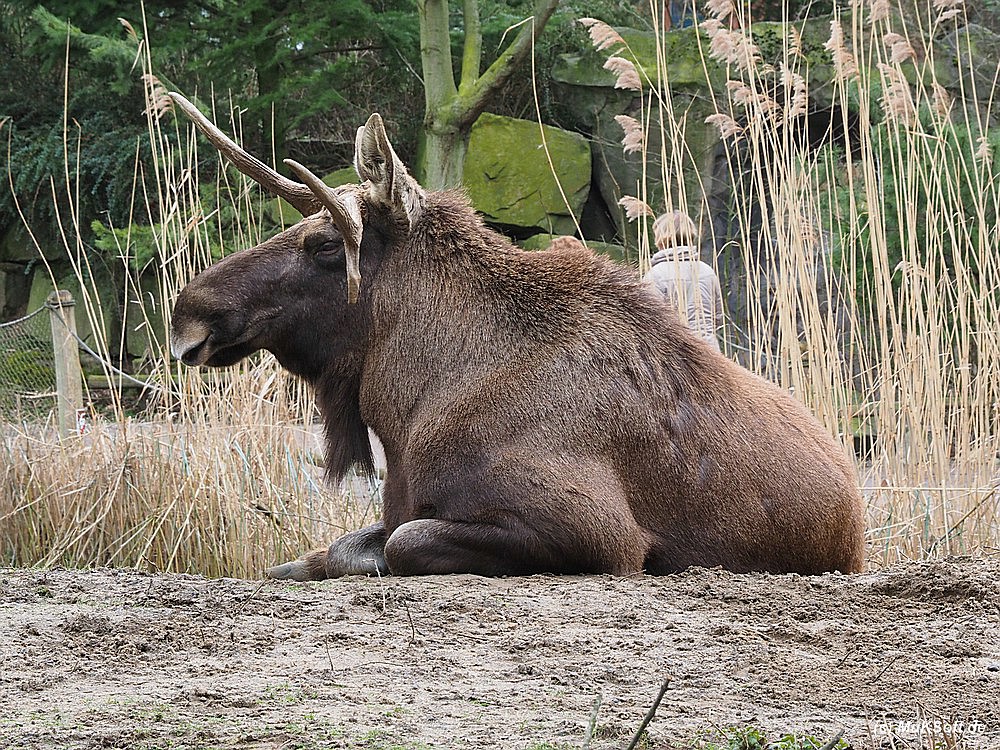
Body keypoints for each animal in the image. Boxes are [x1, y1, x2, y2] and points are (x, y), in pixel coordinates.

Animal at [168, 93, 866, 580]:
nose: (187, 313)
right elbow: (339, 547)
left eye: (323, 244)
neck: (411, 405)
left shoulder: (600, 534)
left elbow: (403, 544)